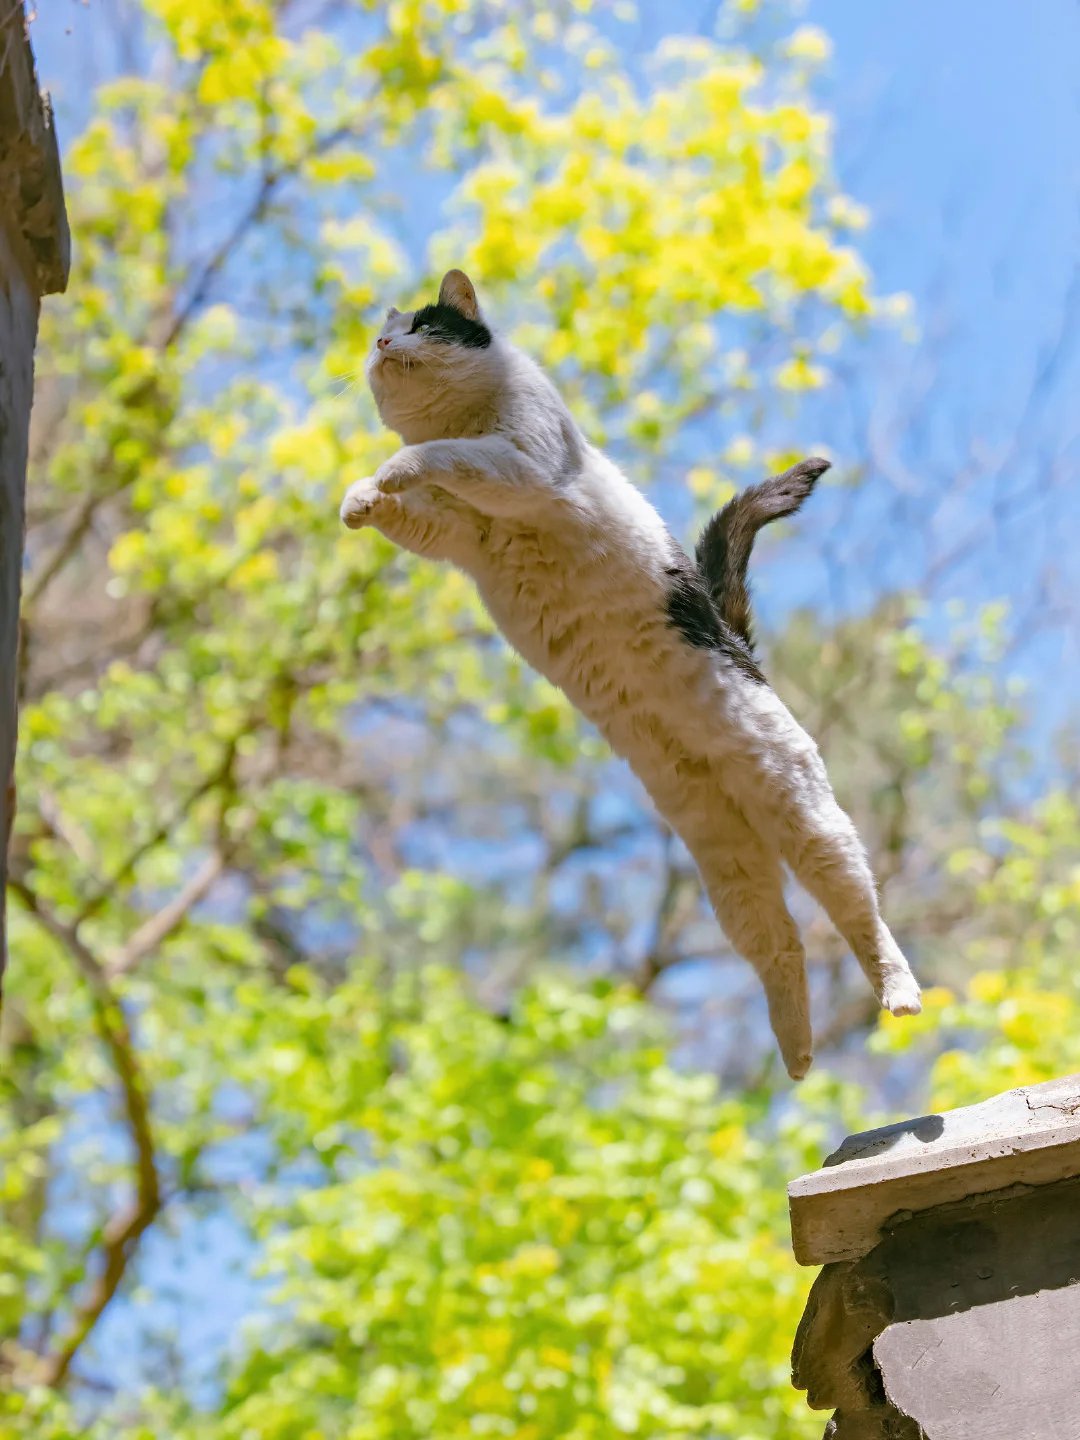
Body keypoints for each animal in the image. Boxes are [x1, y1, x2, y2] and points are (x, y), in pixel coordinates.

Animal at [342, 272, 927, 1082]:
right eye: (384, 334)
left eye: (423, 326)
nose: (381, 342)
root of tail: (737, 642)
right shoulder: (454, 530)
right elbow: (412, 507)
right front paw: (359, 499)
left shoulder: (520, 465)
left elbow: (445, 455)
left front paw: (390, 472)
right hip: (725, 860)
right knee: (778, 943)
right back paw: (797, 1052)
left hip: (806, 818)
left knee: (860, 912)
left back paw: (898, 997)